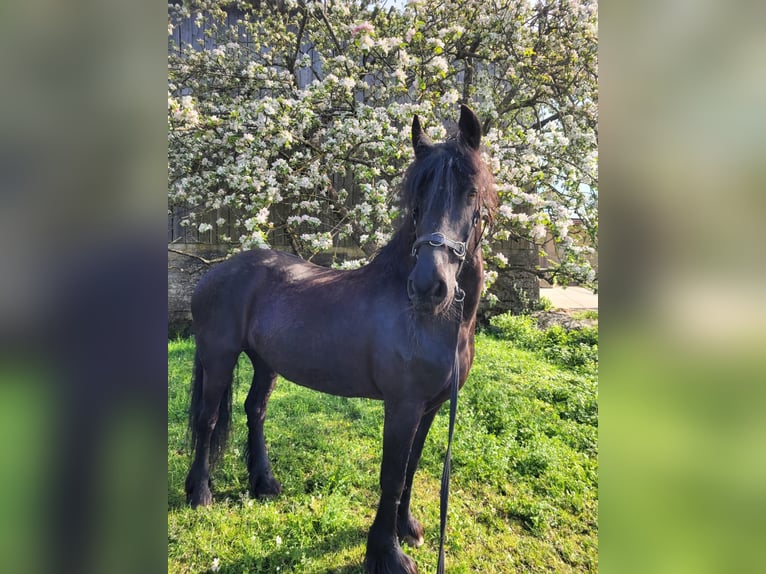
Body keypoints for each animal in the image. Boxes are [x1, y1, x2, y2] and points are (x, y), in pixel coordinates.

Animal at [185, 104, 497, 573]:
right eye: (417, 199)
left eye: (471, 192)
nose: (429, 286)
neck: (436, 324)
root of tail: (214, 273)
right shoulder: (402, 406)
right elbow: (391, 476)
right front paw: (387, 553)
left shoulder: (431, 407)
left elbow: (411, 467)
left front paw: (407, 528)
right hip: (219, 358)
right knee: (208, 419)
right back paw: (200, 493)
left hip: (265, 362)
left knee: (254, 410)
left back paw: (265, 483)